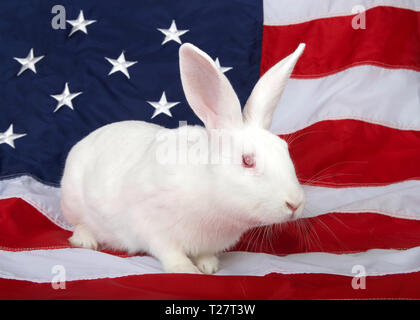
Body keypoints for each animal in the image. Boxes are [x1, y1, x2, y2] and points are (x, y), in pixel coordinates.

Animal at [60, 42, 306, 274]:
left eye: (285, 149)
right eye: (247, 161)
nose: (295, 204)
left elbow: (205, 254)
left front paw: (209, 266)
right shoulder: (154, 227)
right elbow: (169, 251)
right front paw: (185, 269)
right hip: (73, 200)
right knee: (79, 224)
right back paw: (86, 241)